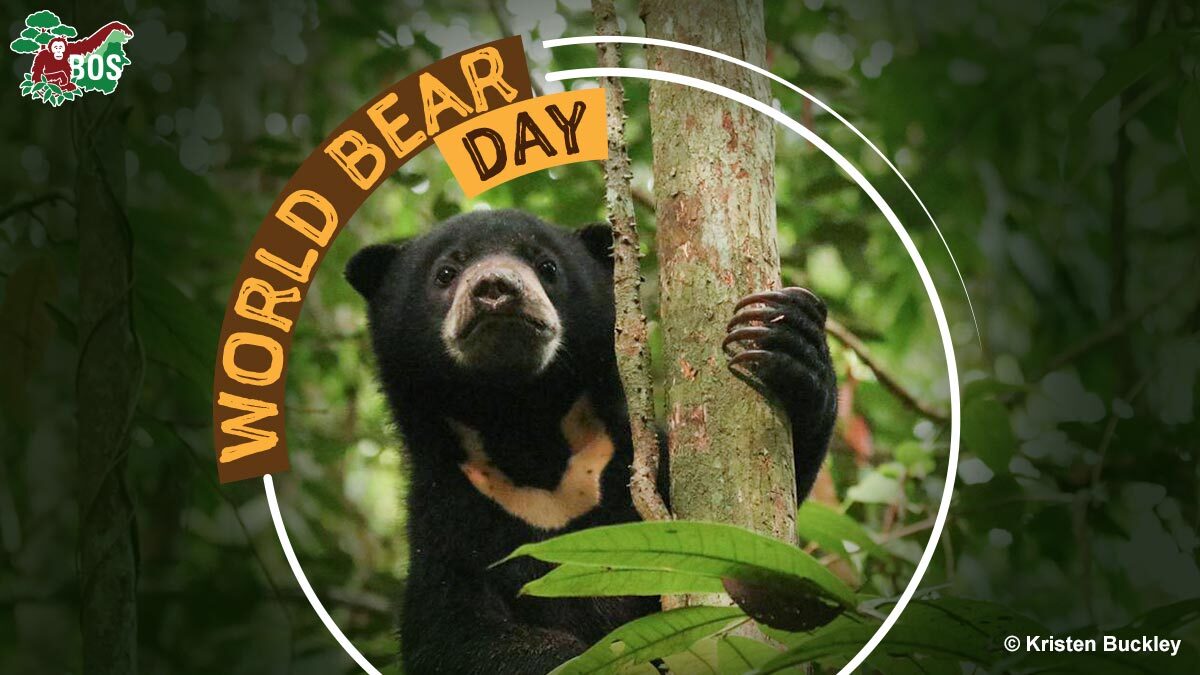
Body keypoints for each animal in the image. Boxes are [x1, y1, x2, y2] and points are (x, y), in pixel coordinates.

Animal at [345, 209, 837, 674]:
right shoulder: (446, 520)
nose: (496, 288)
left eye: (547, 266)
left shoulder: (627, 462)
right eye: (446, 272)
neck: (522, 428)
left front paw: (785, 337)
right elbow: (451, 636)